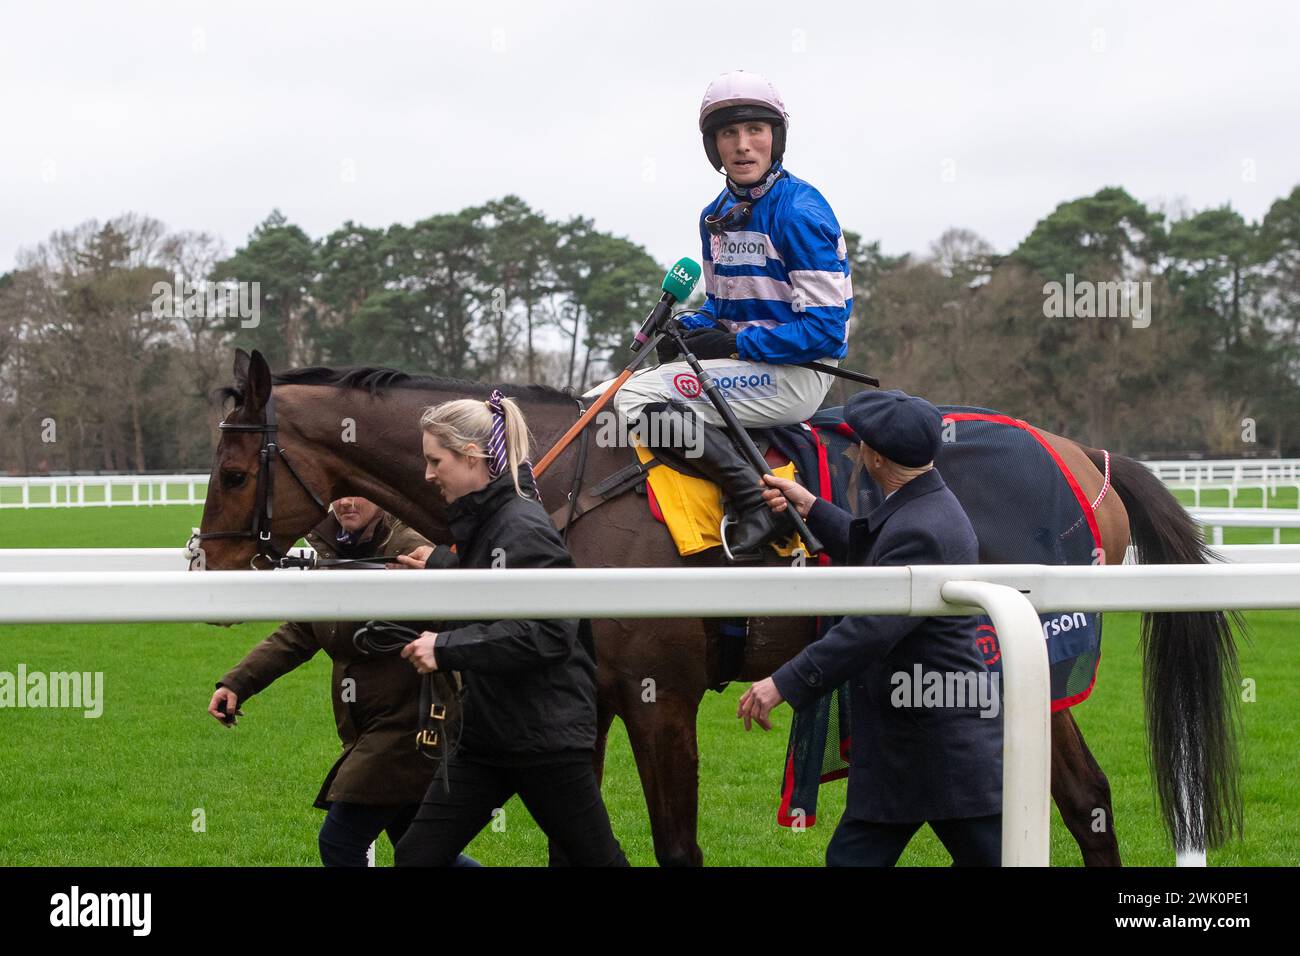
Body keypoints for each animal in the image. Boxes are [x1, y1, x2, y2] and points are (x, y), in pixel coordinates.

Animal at [192, 348, 1237, 868]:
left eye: (235, 470)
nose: (209, 567)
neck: (561, 486)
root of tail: (1086, 453)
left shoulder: (663, 696)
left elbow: (676, 844)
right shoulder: (588, 701)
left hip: (1034, 658)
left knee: (1083, 800)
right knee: (1086, 800)